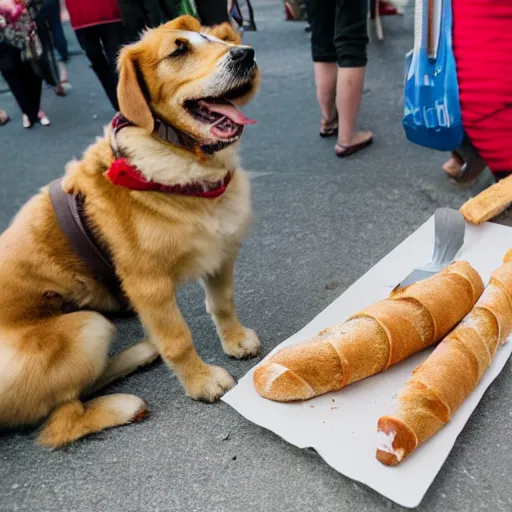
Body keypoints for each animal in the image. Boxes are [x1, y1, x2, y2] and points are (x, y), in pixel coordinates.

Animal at [0, 16, 262, 448]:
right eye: (178, 50)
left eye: (216, 39)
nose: (245, 54)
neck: (187, 165)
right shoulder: (148, 286)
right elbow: (178, 339)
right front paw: (201, 382)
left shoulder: (221, 252)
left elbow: (222, 303)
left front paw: (235, 340)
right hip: (85, 327)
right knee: (62, 420)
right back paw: (125, 404)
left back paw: (140, 353)